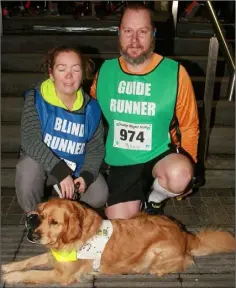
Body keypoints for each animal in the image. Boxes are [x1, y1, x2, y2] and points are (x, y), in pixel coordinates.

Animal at [1, 199, 234, 284]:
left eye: (54, 222)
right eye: (40, 214)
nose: (30, 219)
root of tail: (184, 233)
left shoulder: (62, 275)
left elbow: (31, 272)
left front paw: (12, 277)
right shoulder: (53, 257)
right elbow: (30, 261)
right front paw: (9, 266)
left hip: (157, 251)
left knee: (184, 262)